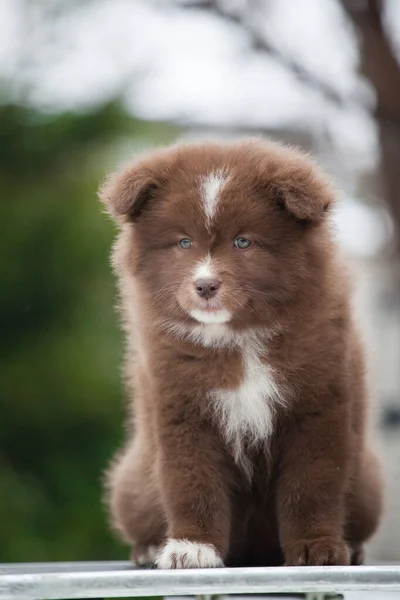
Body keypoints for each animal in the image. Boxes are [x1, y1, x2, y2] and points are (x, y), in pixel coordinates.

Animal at [98, 138, 382, 568]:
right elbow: (191, 481)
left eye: (243, 242)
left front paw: (318, 546)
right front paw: (192, 547)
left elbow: (314, 482)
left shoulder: (319, 406)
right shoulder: (181, 409)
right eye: (184, 242)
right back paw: (148, 547)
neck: (238, 343)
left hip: (367, 483)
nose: (205, 286)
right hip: (133, 482)